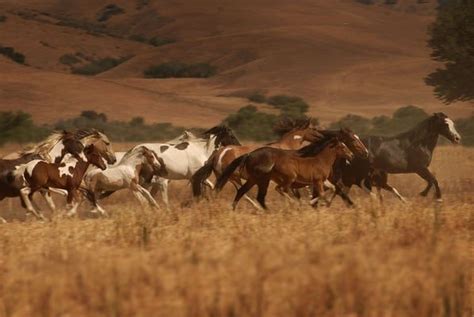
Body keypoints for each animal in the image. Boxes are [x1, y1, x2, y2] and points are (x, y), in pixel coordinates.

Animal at [192, 117, 322, 204]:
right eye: (314, 128)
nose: (322, 137)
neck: (286, 146)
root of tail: (218, 154)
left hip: (225, 177)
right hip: (233, 178)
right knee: (239, 193)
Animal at [214, 138, 352, 210]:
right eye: (343, 146)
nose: (351, 155)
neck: (319, 159)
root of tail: (249, 155)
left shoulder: (320, 181)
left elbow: (332, 188)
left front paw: (322, 203)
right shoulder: (317, 181)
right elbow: (323, 193)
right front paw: (318, 203)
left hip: (253, 180)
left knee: (242, 191)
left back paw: (234, 208)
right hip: (266, 180)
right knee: (264, 195)